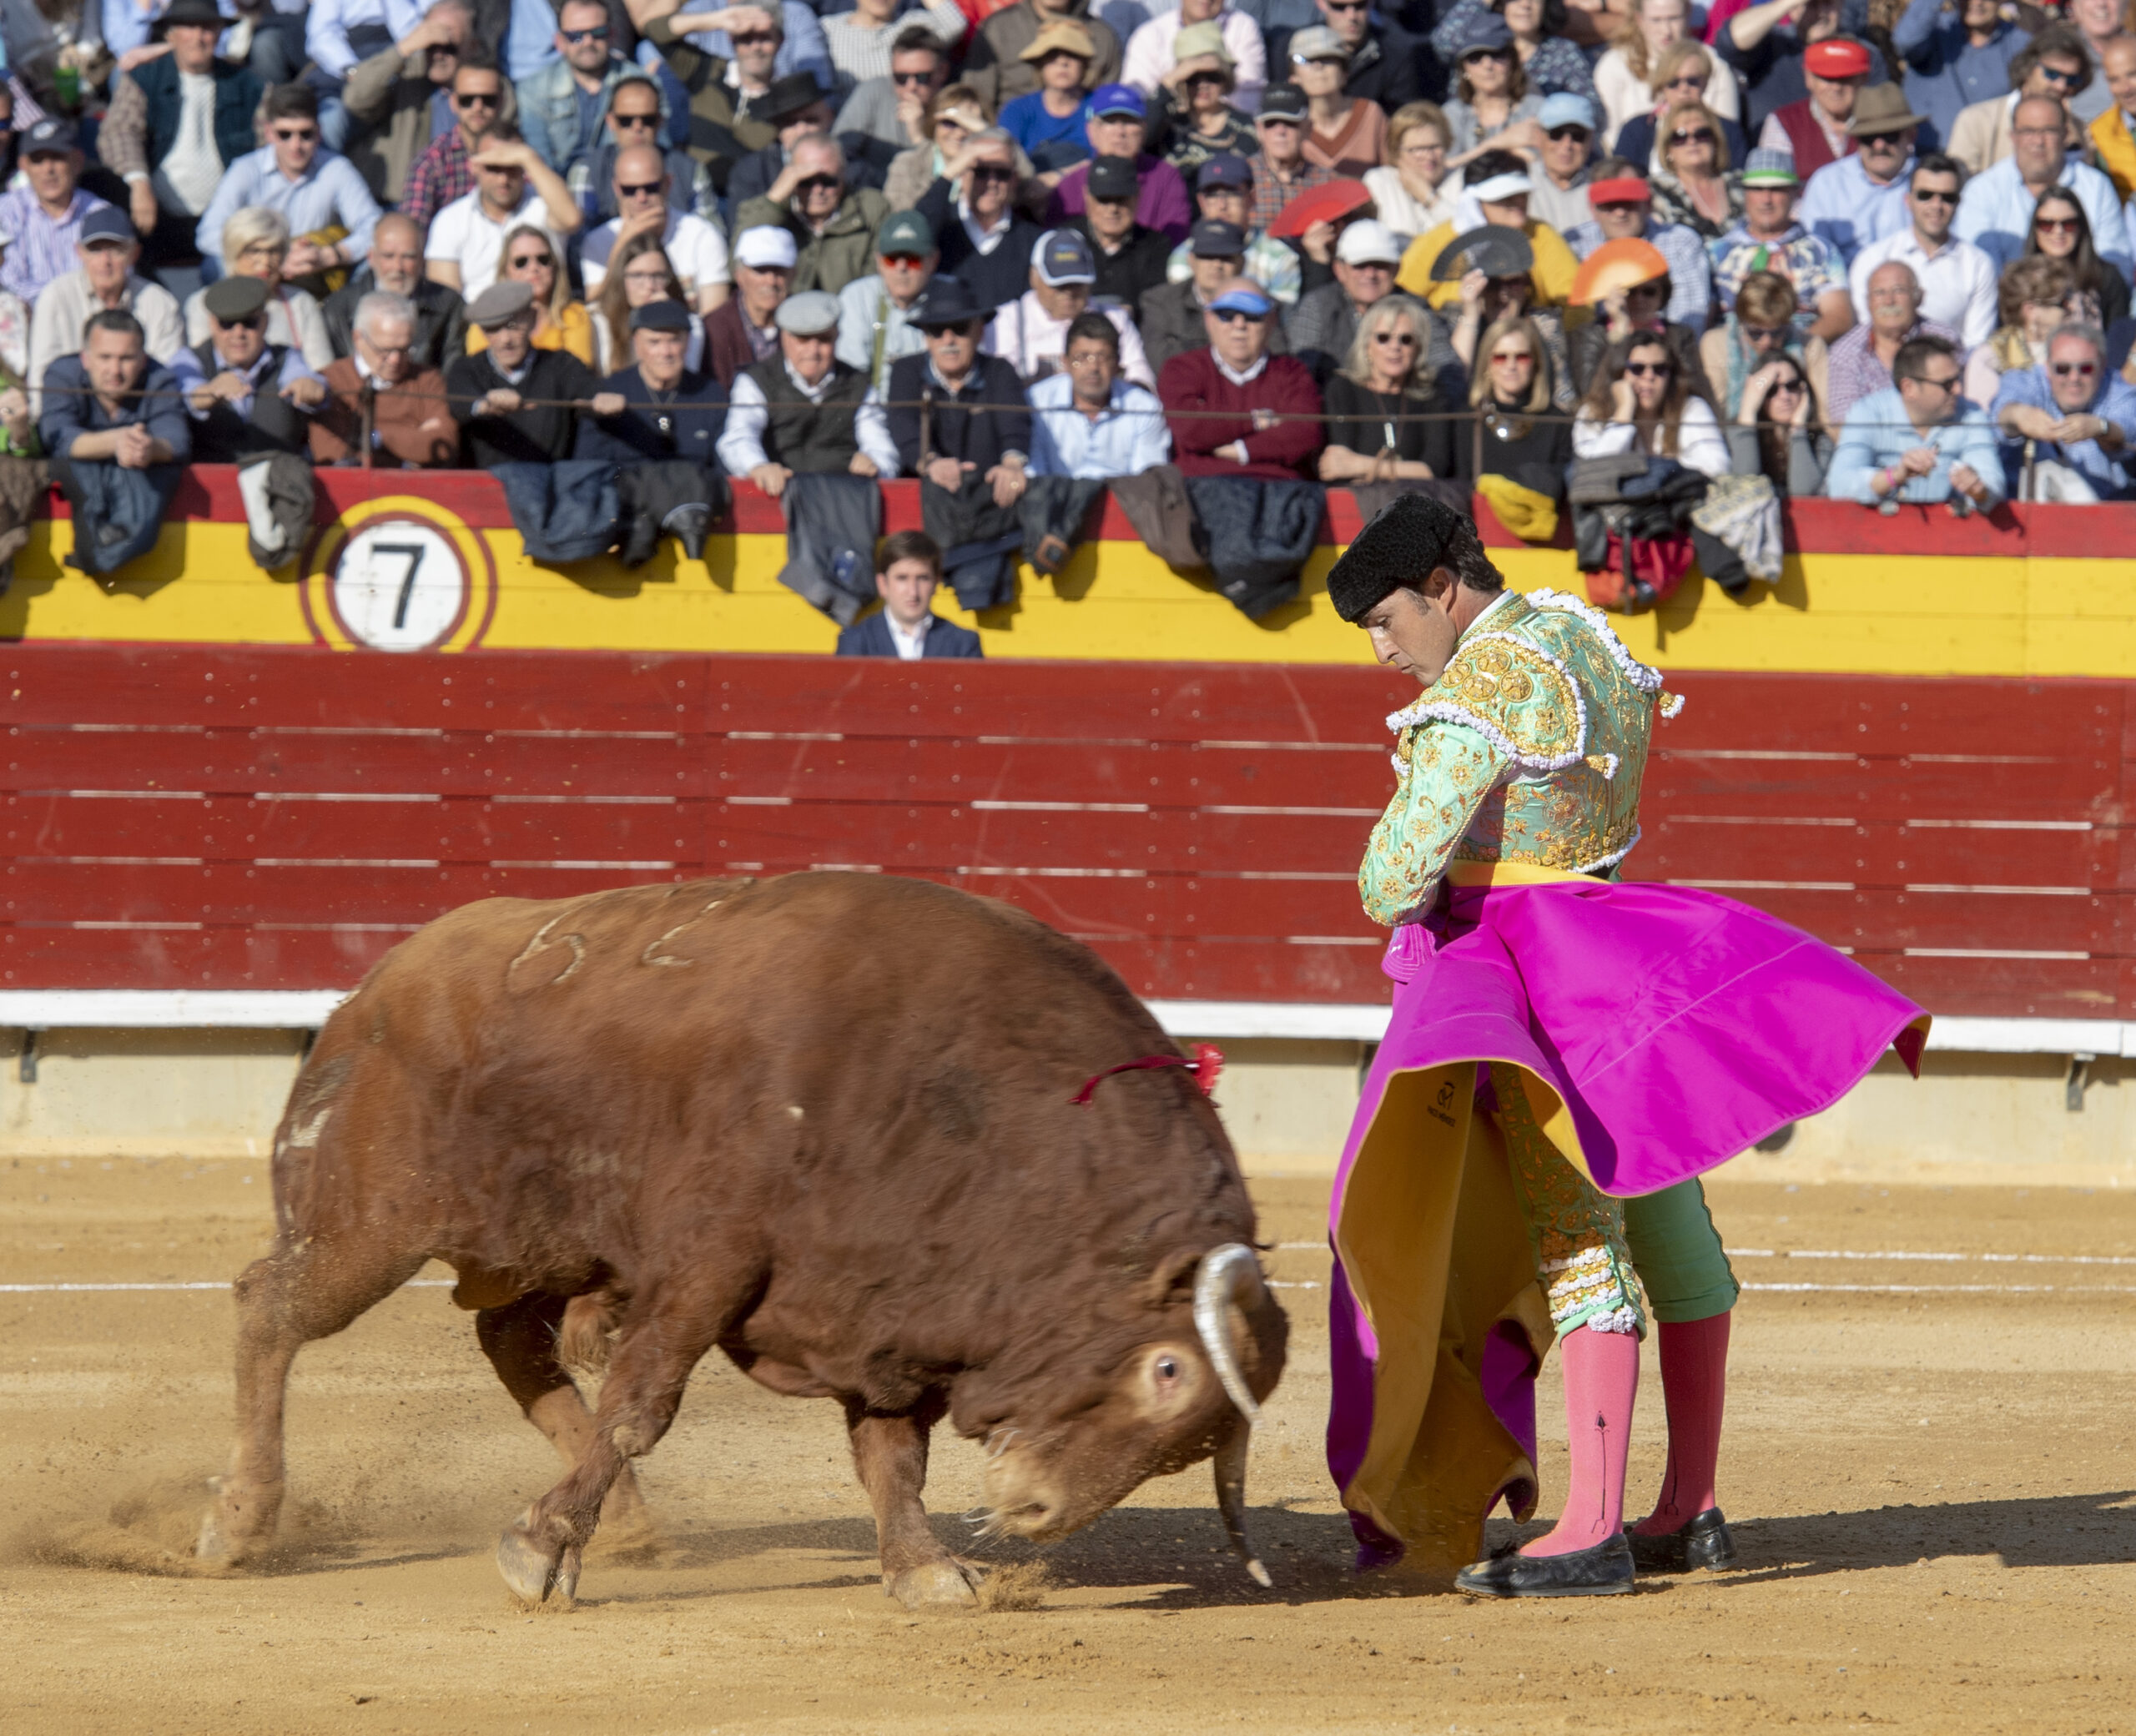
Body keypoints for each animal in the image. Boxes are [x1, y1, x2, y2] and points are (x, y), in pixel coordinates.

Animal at [196, 872, 1289, 1609]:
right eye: (1165, 1370)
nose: (1034, 1511)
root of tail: (377, 982)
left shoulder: (880, 1310)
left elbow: (892, 1457)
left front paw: (928, 1568)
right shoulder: (709, 1261)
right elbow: (641, 1405)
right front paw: (542, 1550)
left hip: (538, 1246)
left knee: (512, 1344)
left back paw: (631, 1523)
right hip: (375, 1221)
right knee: (270, 1304)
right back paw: (239, 1522)